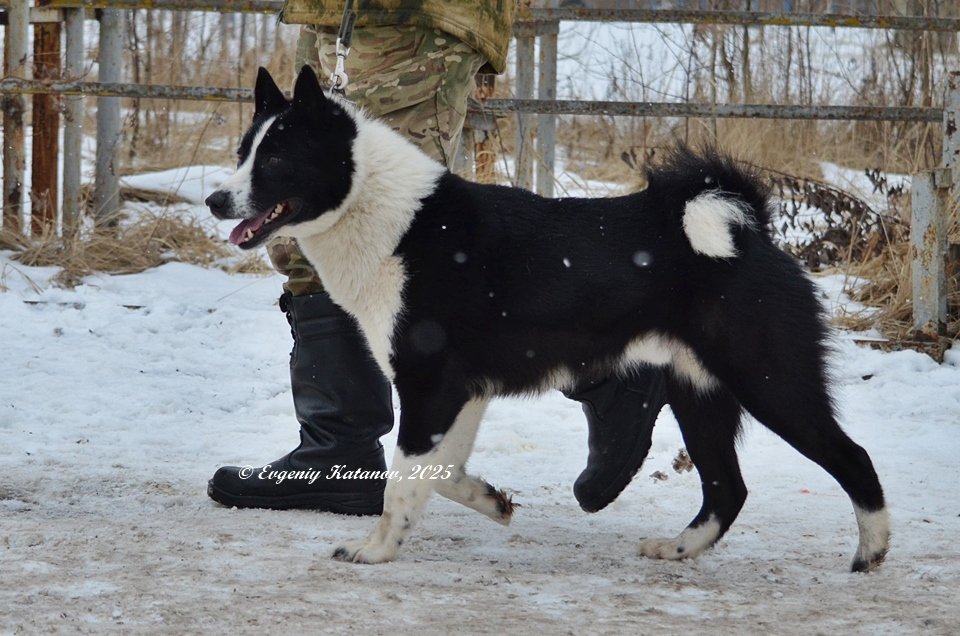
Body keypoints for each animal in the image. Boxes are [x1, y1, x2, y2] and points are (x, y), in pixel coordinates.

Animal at [206, 66, 889, 571]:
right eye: (243, 153)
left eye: (274, 162)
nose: (215, 200)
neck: (390, 218)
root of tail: (747, 233)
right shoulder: (461, 392)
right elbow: (438, 473)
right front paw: (493, 502)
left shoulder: (429, 385)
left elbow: (402, 481)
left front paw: (375, 551)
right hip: (700, 391)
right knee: (727, 488)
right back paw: (678, 548)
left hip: (771, 382)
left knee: (853, 457)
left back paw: (872, 552)